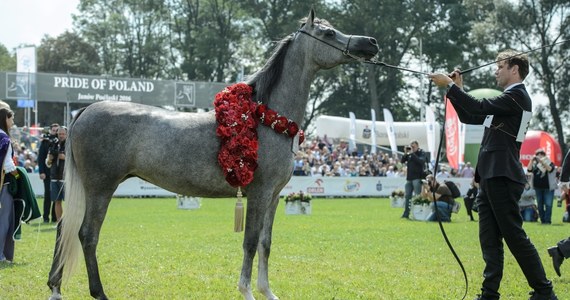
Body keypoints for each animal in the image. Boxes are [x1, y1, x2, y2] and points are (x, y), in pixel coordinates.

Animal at [48, 9, 378, 300]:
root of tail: (85, 110)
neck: (265, 118)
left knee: (64, 228)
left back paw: (55, 288)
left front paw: (267, 291)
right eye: (328, 33)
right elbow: (250, 241)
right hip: (101, 187)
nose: (370, 43)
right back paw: (98, 292)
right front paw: (247, 291)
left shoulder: (273, 196)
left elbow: (266, 243)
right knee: (87, 234)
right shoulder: (259, 193)